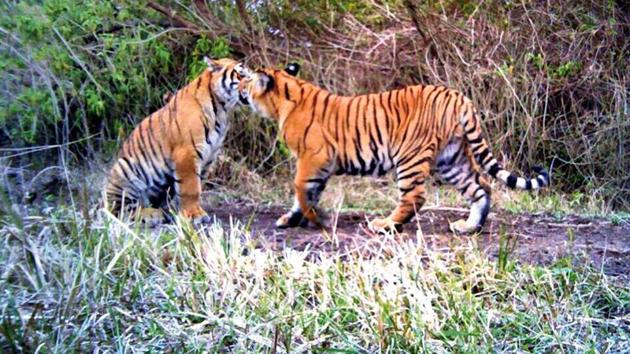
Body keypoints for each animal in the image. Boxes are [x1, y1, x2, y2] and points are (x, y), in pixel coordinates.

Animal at [104, 57, 252, 224]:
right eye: (240, 75)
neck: (222, 110)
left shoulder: (210, 155)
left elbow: (197, 184)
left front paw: (188, 211)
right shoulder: (187, 153)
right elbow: (191, 187)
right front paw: (194, 215)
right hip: (124, 168)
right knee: (120, 209)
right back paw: (152, 214)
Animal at [239, 63, 552, 235]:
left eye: (247, 80)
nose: (239, 86)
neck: (285, 95)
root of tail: (458, 96)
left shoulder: (312, 158)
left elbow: (300, 188)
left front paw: (313, 219)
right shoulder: (319, 164)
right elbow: (306, 192)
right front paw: (295, 218)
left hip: (410, 156)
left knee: (415, 196)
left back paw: (385, 225)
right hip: (451, 159)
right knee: (481, 188)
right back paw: (469, 227)